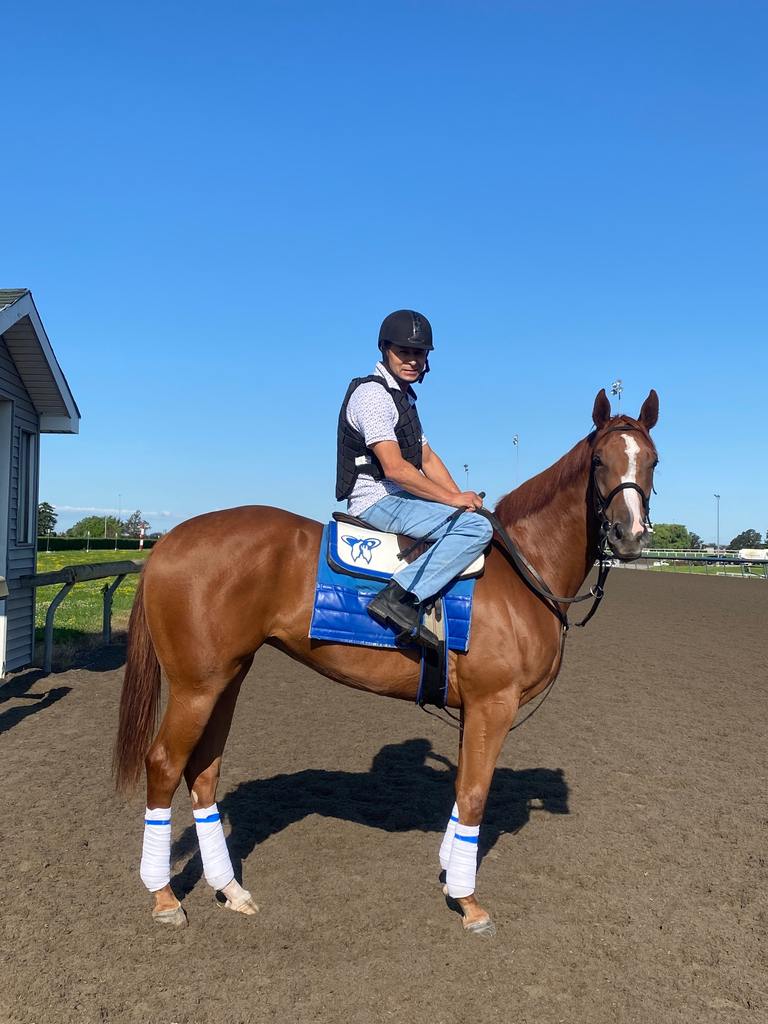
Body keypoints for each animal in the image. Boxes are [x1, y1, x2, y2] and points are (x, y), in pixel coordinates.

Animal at [115, 389, 663, 937]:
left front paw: (450, 876)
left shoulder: (473, 711)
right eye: (599, 461)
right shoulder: (494, 705)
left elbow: (462, 789)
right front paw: (469, 901)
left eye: (653, 460)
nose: (631, 535)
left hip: (227, 679)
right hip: (196, 687)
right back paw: (164, 895)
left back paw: (229, 888)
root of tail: (168, 540)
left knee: (203, 772)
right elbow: (475, 795)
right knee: (164, 765)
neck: (521, 569)